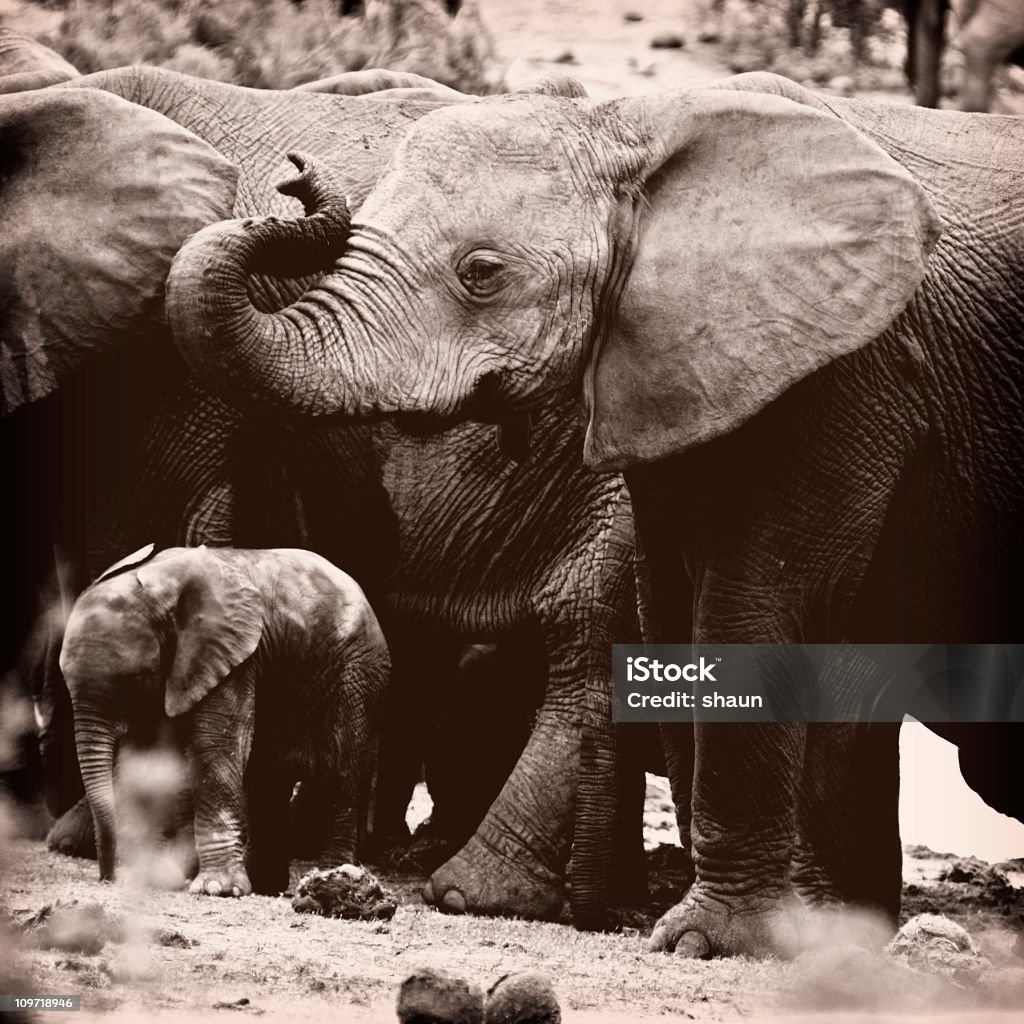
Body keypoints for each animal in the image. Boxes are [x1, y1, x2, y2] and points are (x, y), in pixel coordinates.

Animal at [59, 544, 389, 897]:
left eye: (137, 678)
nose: (108, 879)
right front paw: (159, 878)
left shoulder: (234, 653)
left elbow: (214, 744)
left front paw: (215, 888)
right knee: (267, 778)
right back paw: (265, 885)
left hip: (359, 675)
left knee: (341, 773)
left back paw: (332, 879)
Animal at [169, 75, 1024, 954]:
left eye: (482, 272)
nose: (297, 176)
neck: (628, 127)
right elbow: (670, 605)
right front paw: (777, 929)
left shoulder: (852, 373)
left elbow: (752, 611)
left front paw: (711, 941)